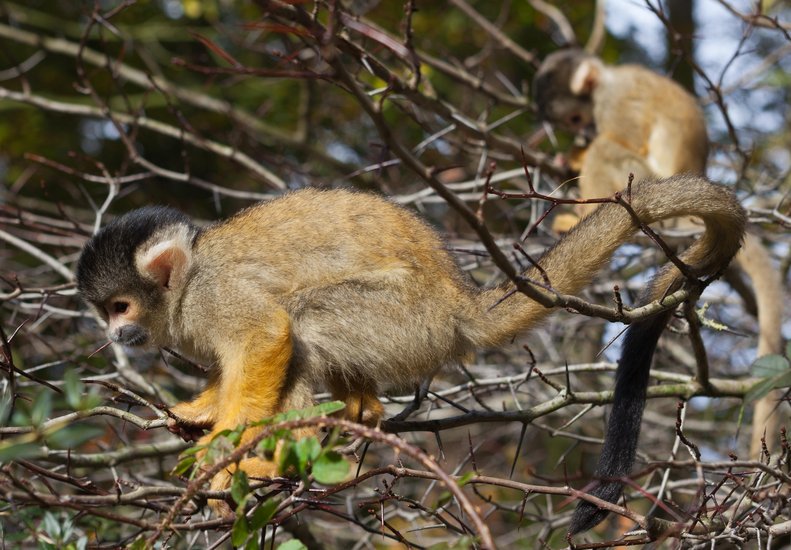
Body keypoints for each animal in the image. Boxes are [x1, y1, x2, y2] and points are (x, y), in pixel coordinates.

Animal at [76, 178, 745, 523]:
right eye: (104, 312)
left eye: (121, 307)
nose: (113, 335)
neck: (183, 287)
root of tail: (458, 304)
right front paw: (202, 411)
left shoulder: (215, 296)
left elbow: (267, 332)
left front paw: (221, 450)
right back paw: (359, 415)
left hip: (407, 324)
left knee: (305, 319)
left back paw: (282, 457)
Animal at [534, 48, 785, 466]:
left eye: (576, 119)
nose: (582, 132)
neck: (607, 78)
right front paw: (568, 157)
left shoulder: (614, 101)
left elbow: (620, 138)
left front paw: (580, 155)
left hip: (645, 178)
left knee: (612, 151)